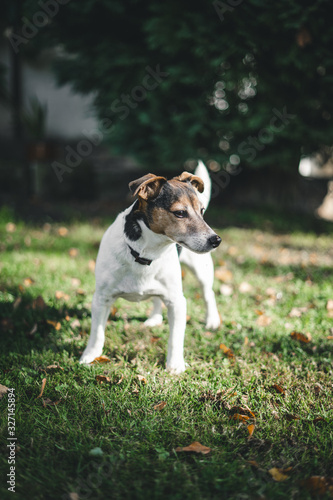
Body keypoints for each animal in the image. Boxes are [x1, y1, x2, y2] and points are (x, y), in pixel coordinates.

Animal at [78, 160, 220, 372]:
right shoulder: (101, 299)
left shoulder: (177, 302)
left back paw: (212, 321)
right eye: (180, 213)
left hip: (201, 272)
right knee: (157, 298)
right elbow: (97, 333)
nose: (216, 240)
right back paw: (154, 318)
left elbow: (175, 338)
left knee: (208, 294)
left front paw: (175, 365)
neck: (146, 254)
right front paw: (90, 356)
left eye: (201, 211)